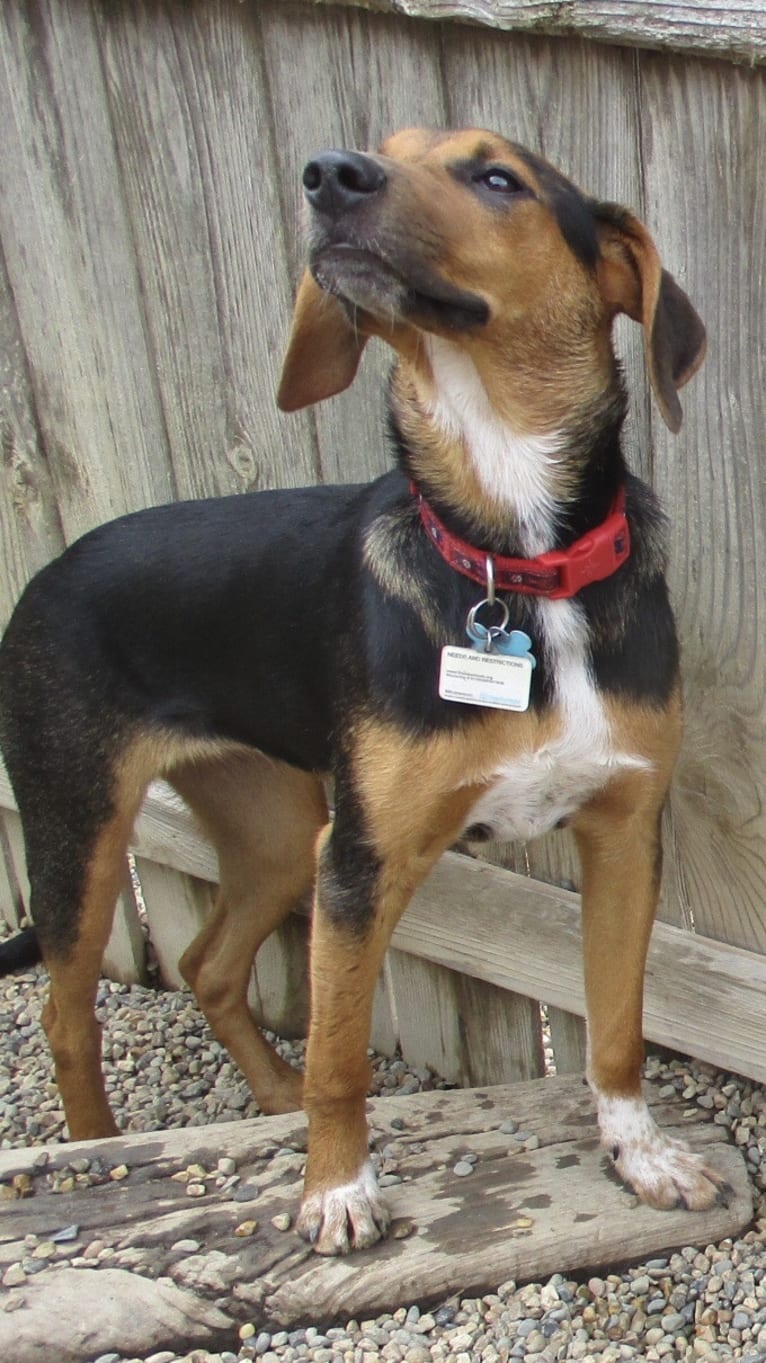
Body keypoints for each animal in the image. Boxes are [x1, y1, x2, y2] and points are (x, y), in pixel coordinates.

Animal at [0, 128, 719, 1253]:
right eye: (386, 149)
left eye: (497, 177)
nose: (328, 176)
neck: (513, 564)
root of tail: (46, 573)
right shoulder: (364, 858)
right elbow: (340, 1055)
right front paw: (336, 1189)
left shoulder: (621, 827)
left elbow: (617, 1023)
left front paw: (639, 1154)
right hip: (82, 829)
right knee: (66, 1015)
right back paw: (95, 1152)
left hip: (271, 824)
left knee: (207, 965)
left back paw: (265, 1098)